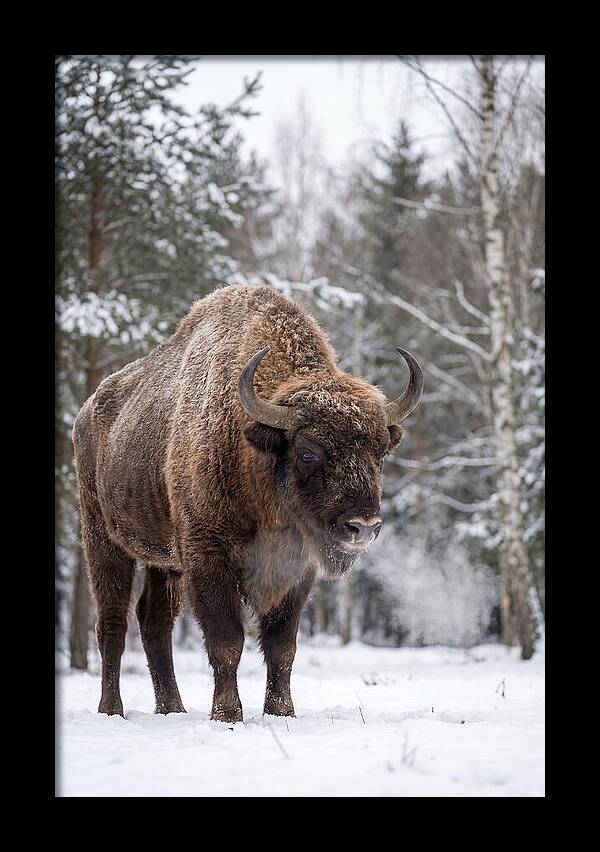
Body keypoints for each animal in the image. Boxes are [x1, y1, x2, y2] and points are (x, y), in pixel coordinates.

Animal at [73, 284, 423, 722]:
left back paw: (172, 709)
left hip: (163, 561)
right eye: (308, 451)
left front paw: (281, 712)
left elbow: (281, 646)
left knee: (154, 623)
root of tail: (87, 412)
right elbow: (227, 641)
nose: (363, 527)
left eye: (380, 452)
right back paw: (112, 710)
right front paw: (227, 715)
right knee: (112, 624)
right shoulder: (207, 558)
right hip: (104, 539)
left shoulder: (296, 569)